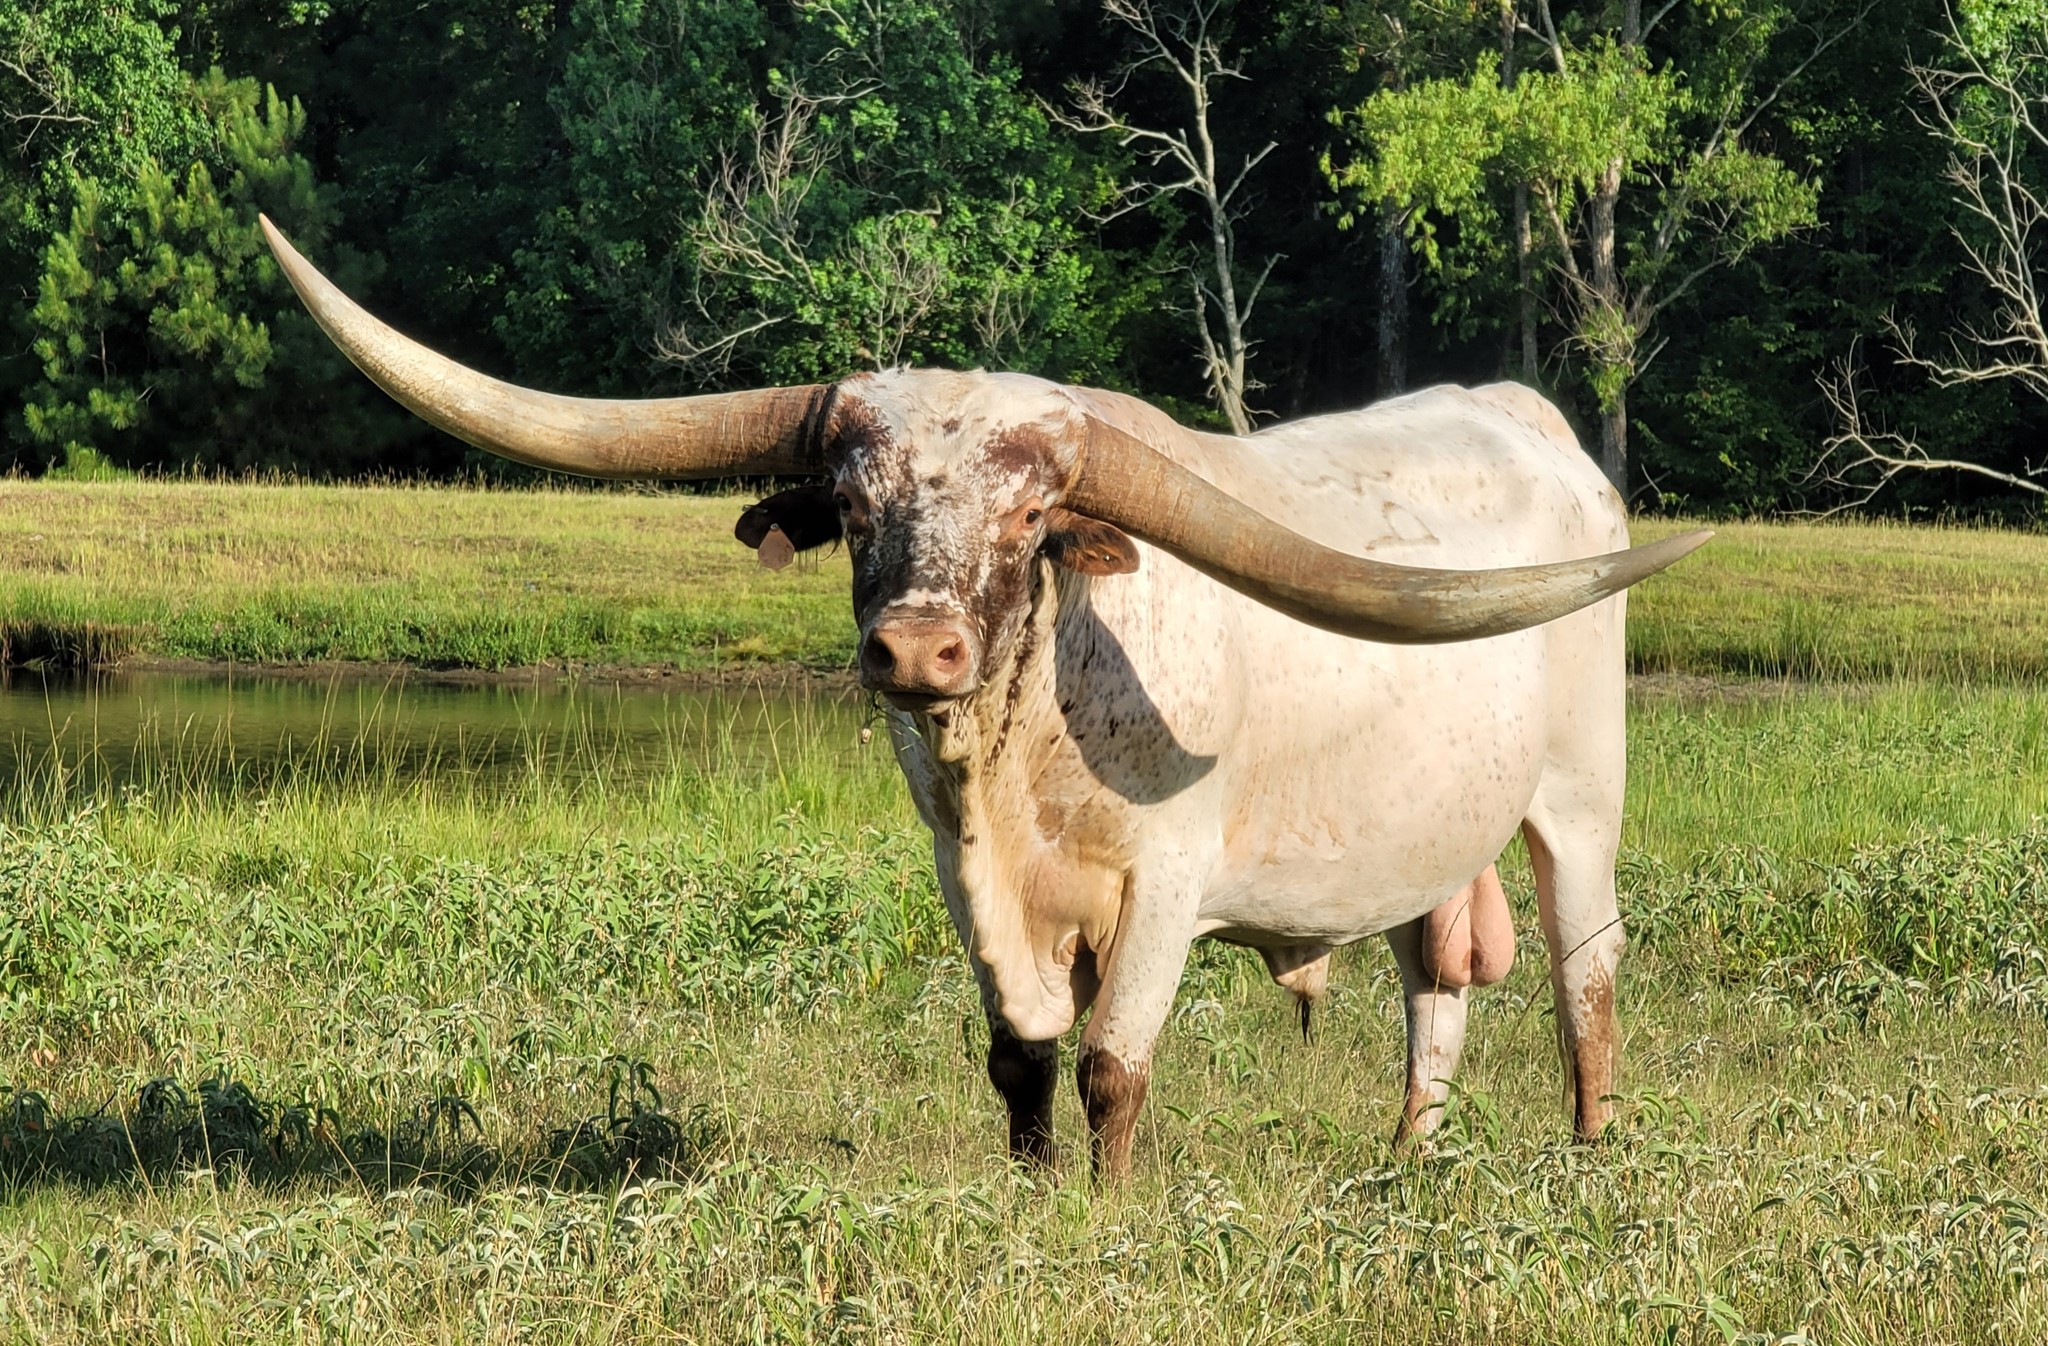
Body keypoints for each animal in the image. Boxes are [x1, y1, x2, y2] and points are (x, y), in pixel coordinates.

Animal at [260, 218, 1707, 1179]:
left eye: (1026, 516)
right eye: (853, 508)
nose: (915, 652)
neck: (1026, 758)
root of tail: (1526, 414)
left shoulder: (1168, 880)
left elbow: (1115, 1063)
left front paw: (1108, 1208)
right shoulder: (962, 872)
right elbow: (1021, 1052)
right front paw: (1032, 1188)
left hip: (1581, 795)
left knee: (1585, 969)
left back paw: (1590, 1152)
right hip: (1425, 831)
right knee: (1433, 985)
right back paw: (1405, 1158)